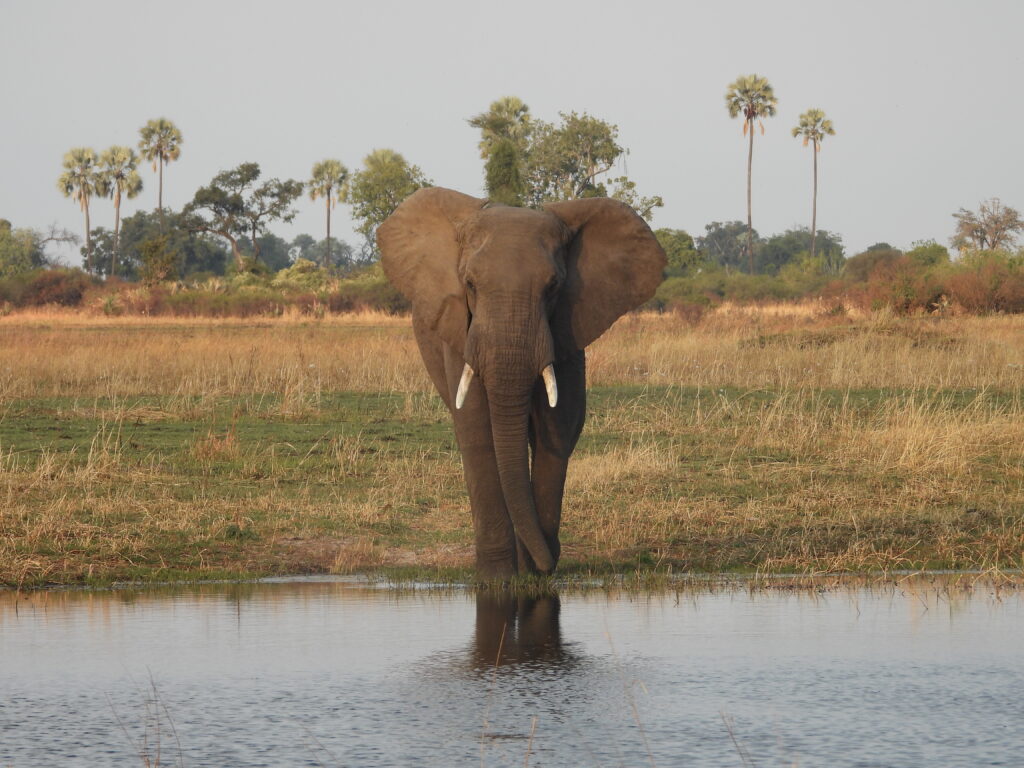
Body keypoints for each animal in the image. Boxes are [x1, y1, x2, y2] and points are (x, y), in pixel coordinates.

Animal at [377, 187, 665, 579]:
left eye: (553, 286)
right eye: (469, 285)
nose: (548, 562)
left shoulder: (566, 330)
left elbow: (556, 428)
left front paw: (532, 574)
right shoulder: (460, 330)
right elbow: (478, 431)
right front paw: (498, 579)